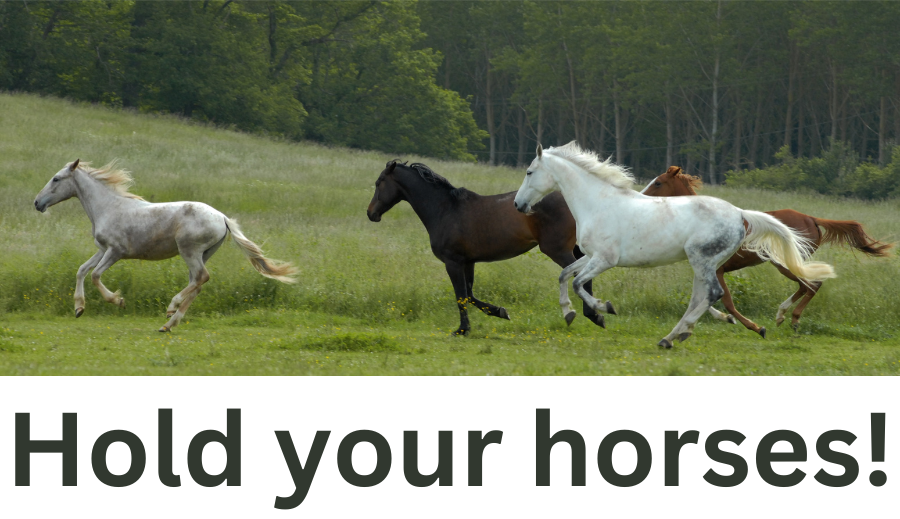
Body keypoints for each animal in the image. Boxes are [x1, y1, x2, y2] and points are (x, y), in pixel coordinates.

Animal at [34, 159, 298, 334]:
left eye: (56, 179)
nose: (37, 203)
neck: (108, 207)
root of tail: (223, 217)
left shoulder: (115, 251)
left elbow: (96, 275)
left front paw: (118, 301)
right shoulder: (102, 249)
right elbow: (81, 270)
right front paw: (79, 308)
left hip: (189, 250)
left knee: (201, 278)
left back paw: (171, 308)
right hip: (203, 253)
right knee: (198, 283)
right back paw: (169, 323)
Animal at [368, 160, 612, 336]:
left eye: (379, 182)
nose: (371, 213)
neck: (445, 210)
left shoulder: (452, 262)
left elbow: (461, 296)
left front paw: (462, 330)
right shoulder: (468, 262)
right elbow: (469, 295)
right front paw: (500, 312)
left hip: (557, 250)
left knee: (578, 276)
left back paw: (591, 314)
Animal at [512, 141, 836, 350]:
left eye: (529, 172)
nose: (518, 205)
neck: (598, 203)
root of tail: (740, 214)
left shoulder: (604, 260)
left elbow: (579, 283)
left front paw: (605, 309)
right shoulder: (590, 256)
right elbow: (564, 275)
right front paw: (568, 313)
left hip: (701, 260)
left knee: (713, 295)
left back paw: (674, 336)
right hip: (704, 264)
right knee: (701, 298)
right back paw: (675, 336)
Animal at [640, 168, 892, 338]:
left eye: (658, 183)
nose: (641, 196)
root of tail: (811, 218)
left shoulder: (717, 270)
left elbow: (726, 301)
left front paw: (754, 327)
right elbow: (706, 300)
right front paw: (722, 319)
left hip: (784, 263)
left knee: (812, 285)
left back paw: (793, 319)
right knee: (806, 286)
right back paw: (782, 315)